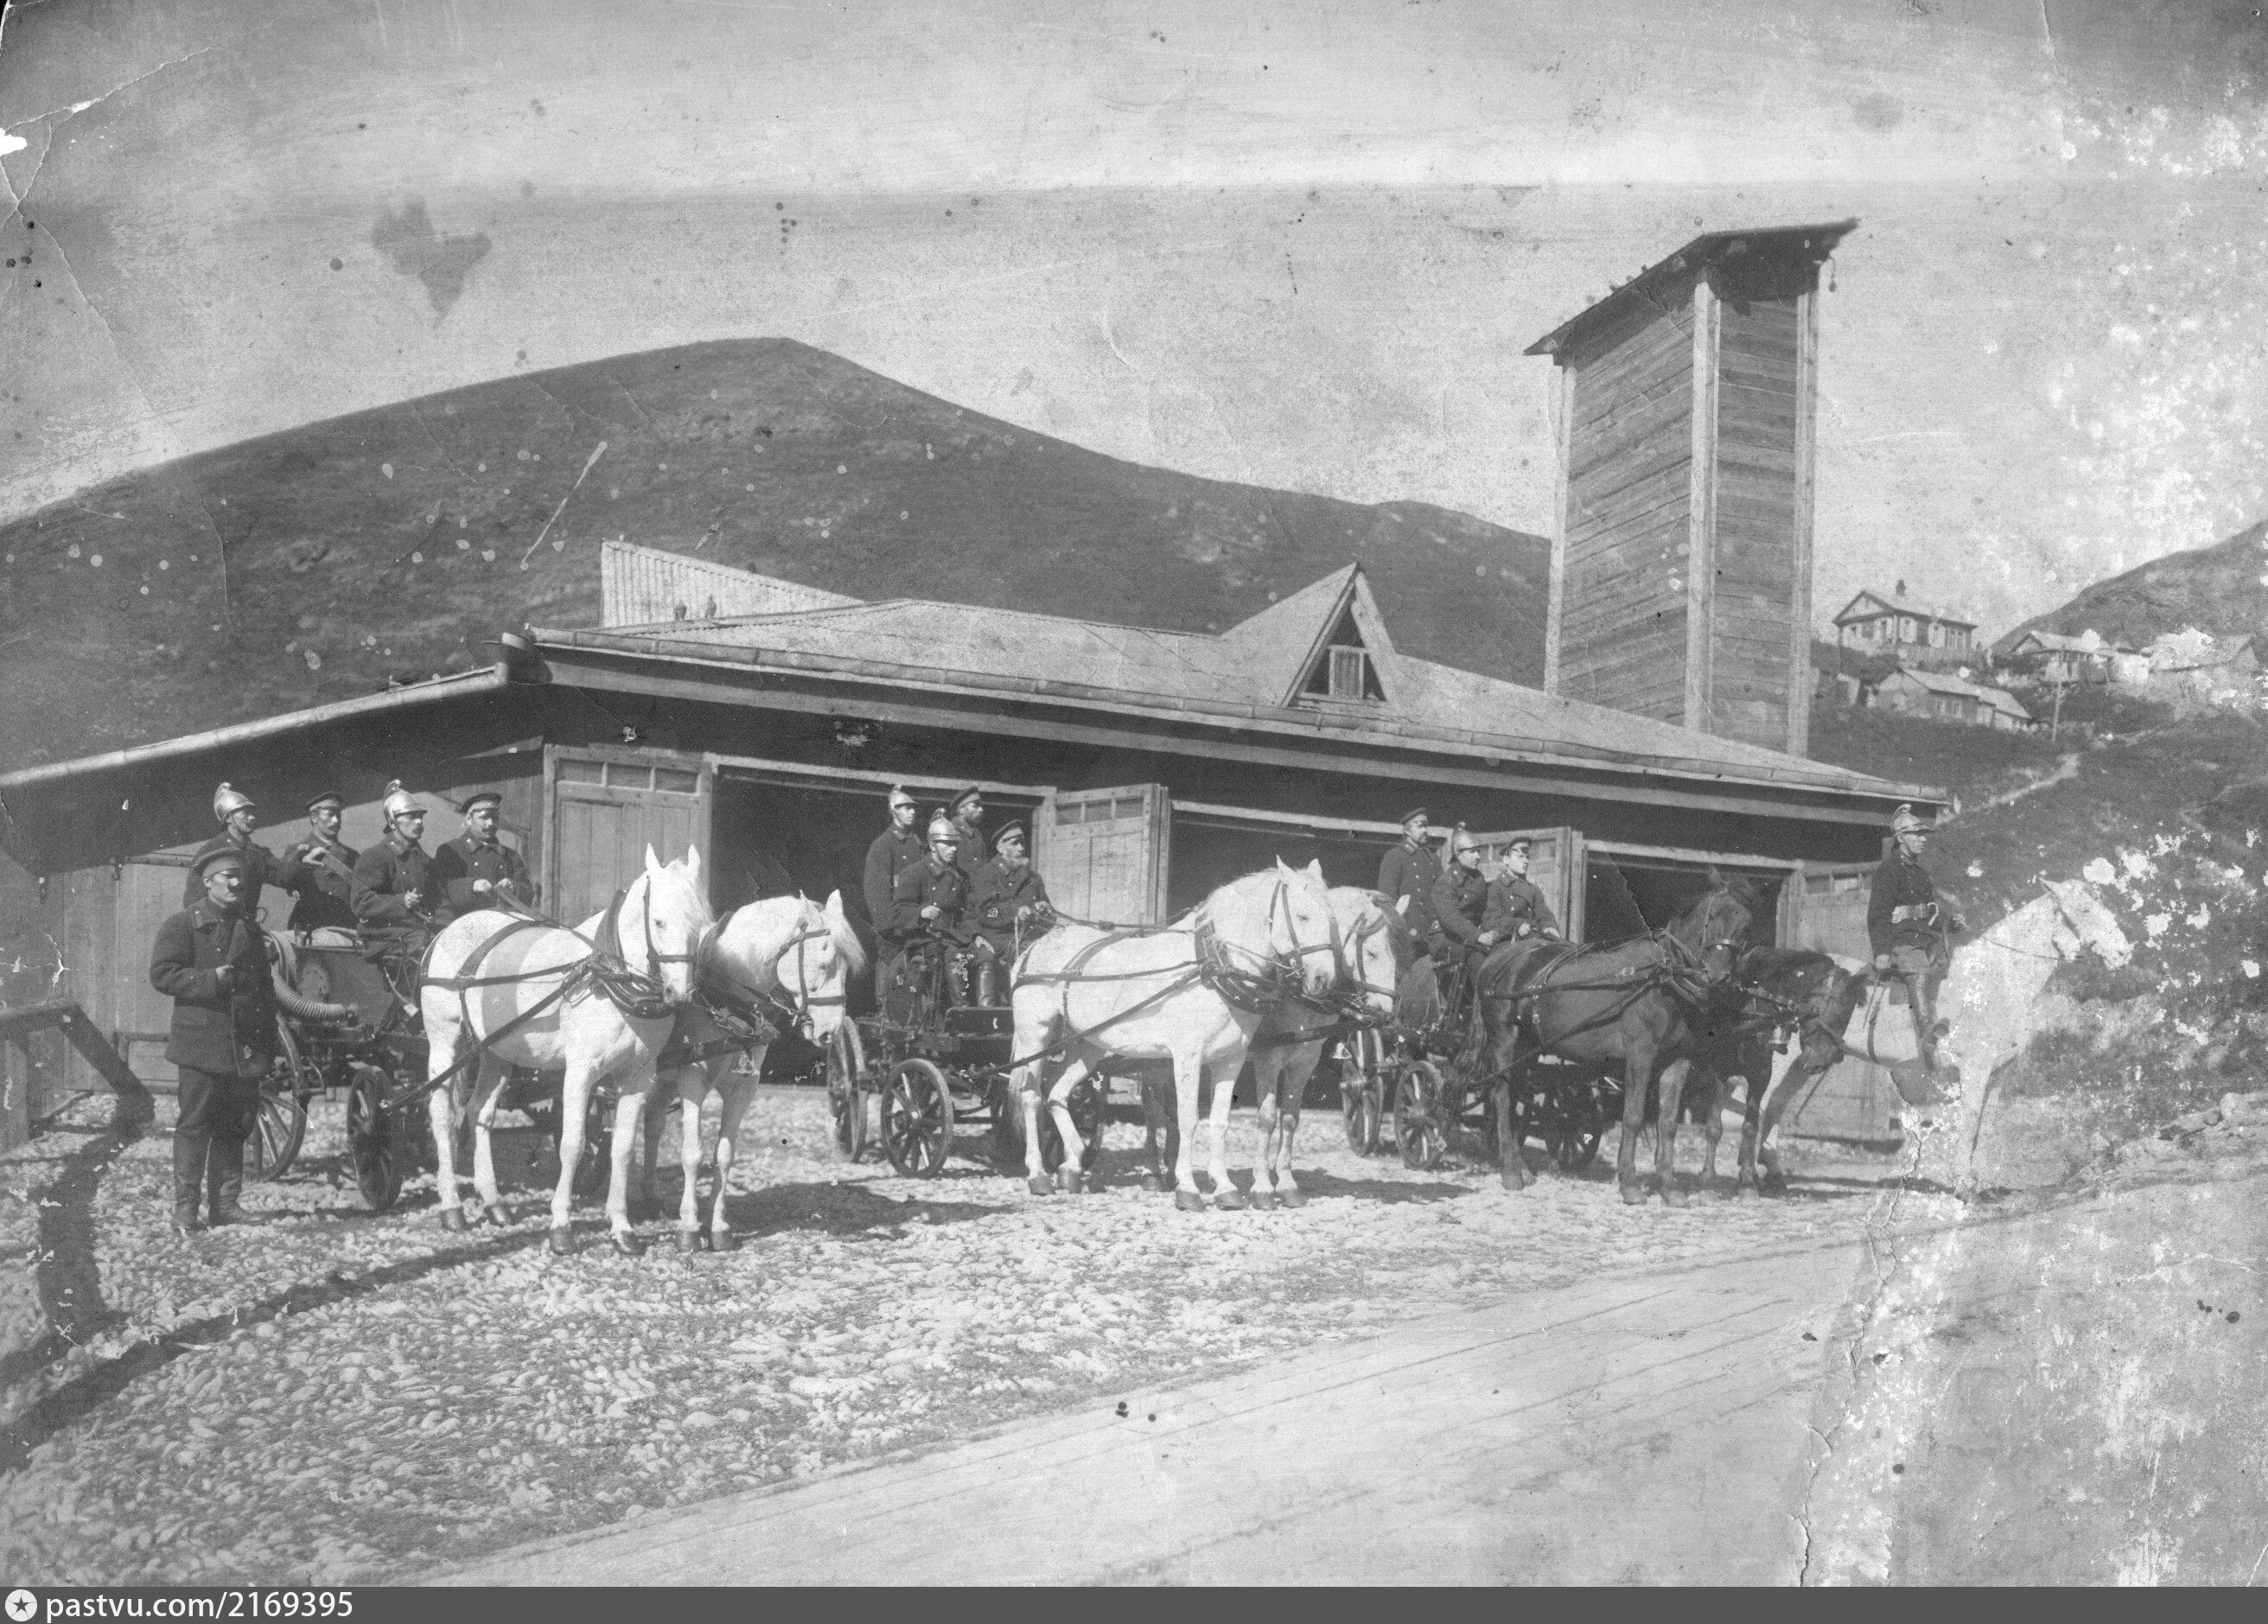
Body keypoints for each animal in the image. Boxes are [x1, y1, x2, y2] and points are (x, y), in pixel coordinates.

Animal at [420, 846, 715, 1255]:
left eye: (700, 924)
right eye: (658, 922)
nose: (681, 993)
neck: (609, 975)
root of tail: (450, 929)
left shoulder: (638, 1076)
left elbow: (623, 1148)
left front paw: (622, 1229)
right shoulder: (580, 1073)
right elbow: (573, 1145)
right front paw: (561, 1228)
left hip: (497, 1050)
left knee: (480, 1113)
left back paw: (494, 1203)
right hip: (445, 1038)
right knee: (442, 1116)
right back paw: (452, 1208)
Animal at [631, 891, 865, 1254]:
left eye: (847, 970)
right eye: (824, 964)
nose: (831, 1032)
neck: (725, 998)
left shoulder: (744, 1087)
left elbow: (725, 1155)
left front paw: (719, 1228)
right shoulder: (693, 1080)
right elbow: (692, 1154)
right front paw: (688, 1228)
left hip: (665, 1080)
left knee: (653, 1123)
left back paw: (652, 1197)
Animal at [1009, 859, 1339, 1209]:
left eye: (1331, 919)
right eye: (1302, 916)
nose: (1324, 980)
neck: (1212, 966)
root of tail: (1034, 948)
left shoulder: (1230, 1059)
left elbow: (1219, 1120)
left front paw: (1225, 1188)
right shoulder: (1188, 1057)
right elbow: (1187, 1118)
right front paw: (1188, 1189)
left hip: (1086, 1045)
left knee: (1057, 1093)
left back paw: (1072, 1165)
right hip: (1035, 1035)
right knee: (1031, 1096)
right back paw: (1038, 1175)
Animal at [1471, 870, 1755, 1204]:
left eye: (1746, 925)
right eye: (1712, 917)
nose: (1717, 976)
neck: (1662, 978)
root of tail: (1500, 958)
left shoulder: (1678, 1061)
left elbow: (1668, 1122)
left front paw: (1670, 1188)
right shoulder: (1641, 1056)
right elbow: (1632, 1116)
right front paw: (1630, 1184)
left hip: (1527, 1046)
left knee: (1516, 1097)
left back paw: (1522, 1169)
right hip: (1504, 1038)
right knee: (1502, 1098)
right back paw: (1511, 1174)